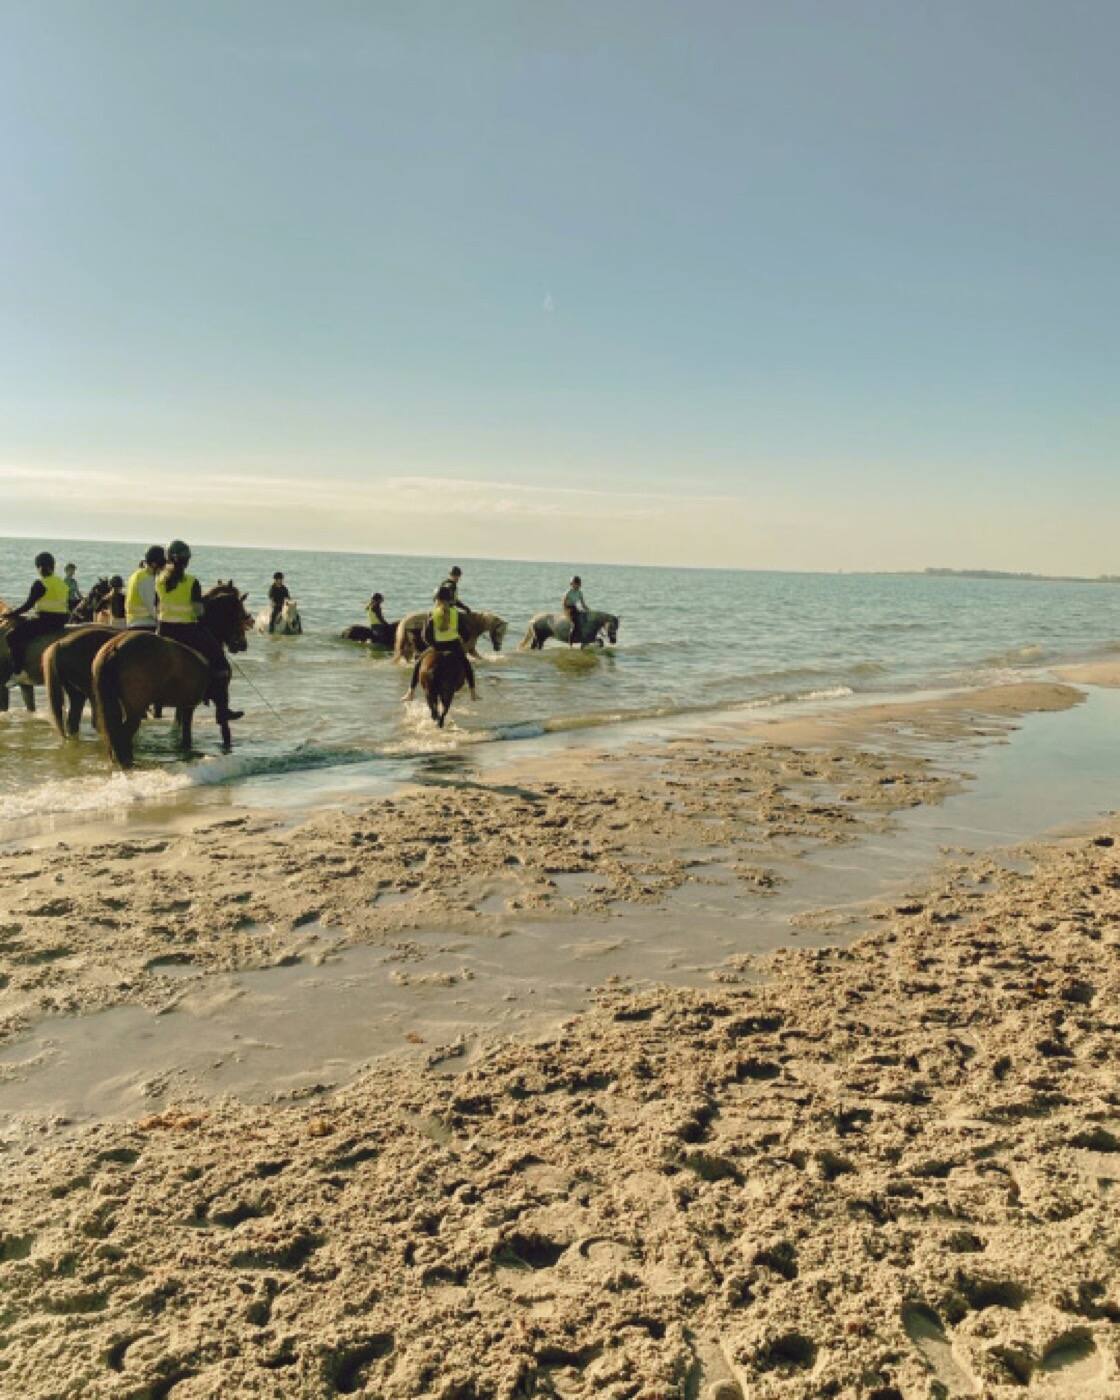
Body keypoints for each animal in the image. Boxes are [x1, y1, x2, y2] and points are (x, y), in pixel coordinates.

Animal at [91, 584, 251, 769]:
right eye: (240, 614)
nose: (242, 644)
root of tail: (114, 647)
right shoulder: (202, 702)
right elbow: (221, 728)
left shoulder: (184, 706)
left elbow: (183, 732)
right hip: (135, 708)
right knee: (123, 734)